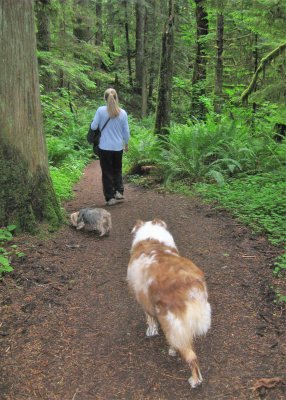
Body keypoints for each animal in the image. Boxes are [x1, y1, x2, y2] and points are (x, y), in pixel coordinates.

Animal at [127, 219, 210, 388]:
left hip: (171, 320)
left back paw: (195, 381)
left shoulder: (144, 301)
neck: (152, 240)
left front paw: (151, 331)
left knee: (192, 358)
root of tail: (191, 284)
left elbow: (150, 320)